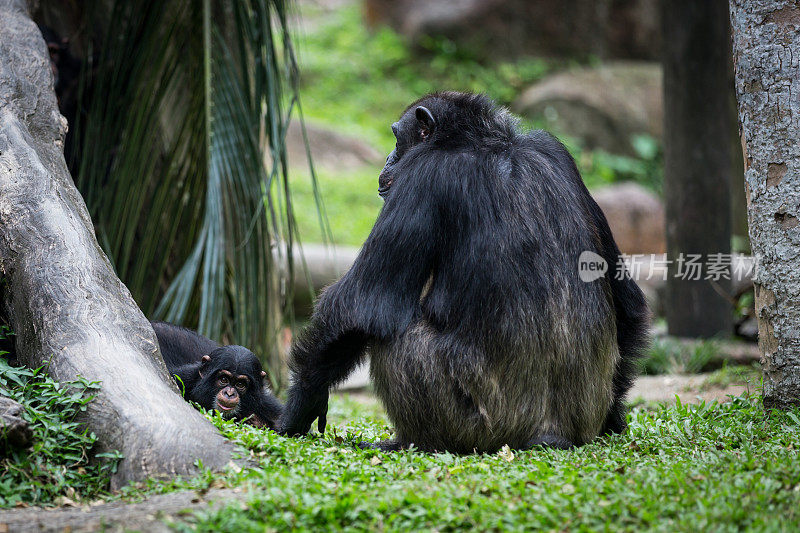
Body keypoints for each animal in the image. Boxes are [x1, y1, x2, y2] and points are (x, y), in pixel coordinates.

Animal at [152, 320, 282, 428]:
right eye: (224, 379)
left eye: (240, 384)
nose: (229, 393)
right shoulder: (182, 377)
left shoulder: (269, 406)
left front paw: (257, 422)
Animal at [278, 91, 648, 448]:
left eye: (397, 138)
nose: (387, 159)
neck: (487, 142)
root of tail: (550, 434)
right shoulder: (558, 153)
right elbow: (627, 301)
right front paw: (615, 417)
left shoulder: (420, 178)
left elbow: (361, 305)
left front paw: (299, 406)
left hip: (476, 422)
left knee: (396, 338)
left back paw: (407, 442)